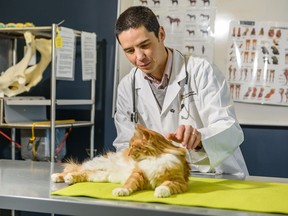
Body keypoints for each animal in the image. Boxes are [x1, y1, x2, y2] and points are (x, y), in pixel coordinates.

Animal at [51, 124, 191, 198]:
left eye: (132, 147)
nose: (128, 153)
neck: (153, 158)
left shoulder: (179, 182)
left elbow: (167, 185)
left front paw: (160, 191)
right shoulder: (137, 174)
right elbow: (129, 184)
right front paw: (121, 191)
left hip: (100, 175)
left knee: (82, 173)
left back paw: (70, 178)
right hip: (96, 165)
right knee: (77, 169)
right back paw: (57, 176)